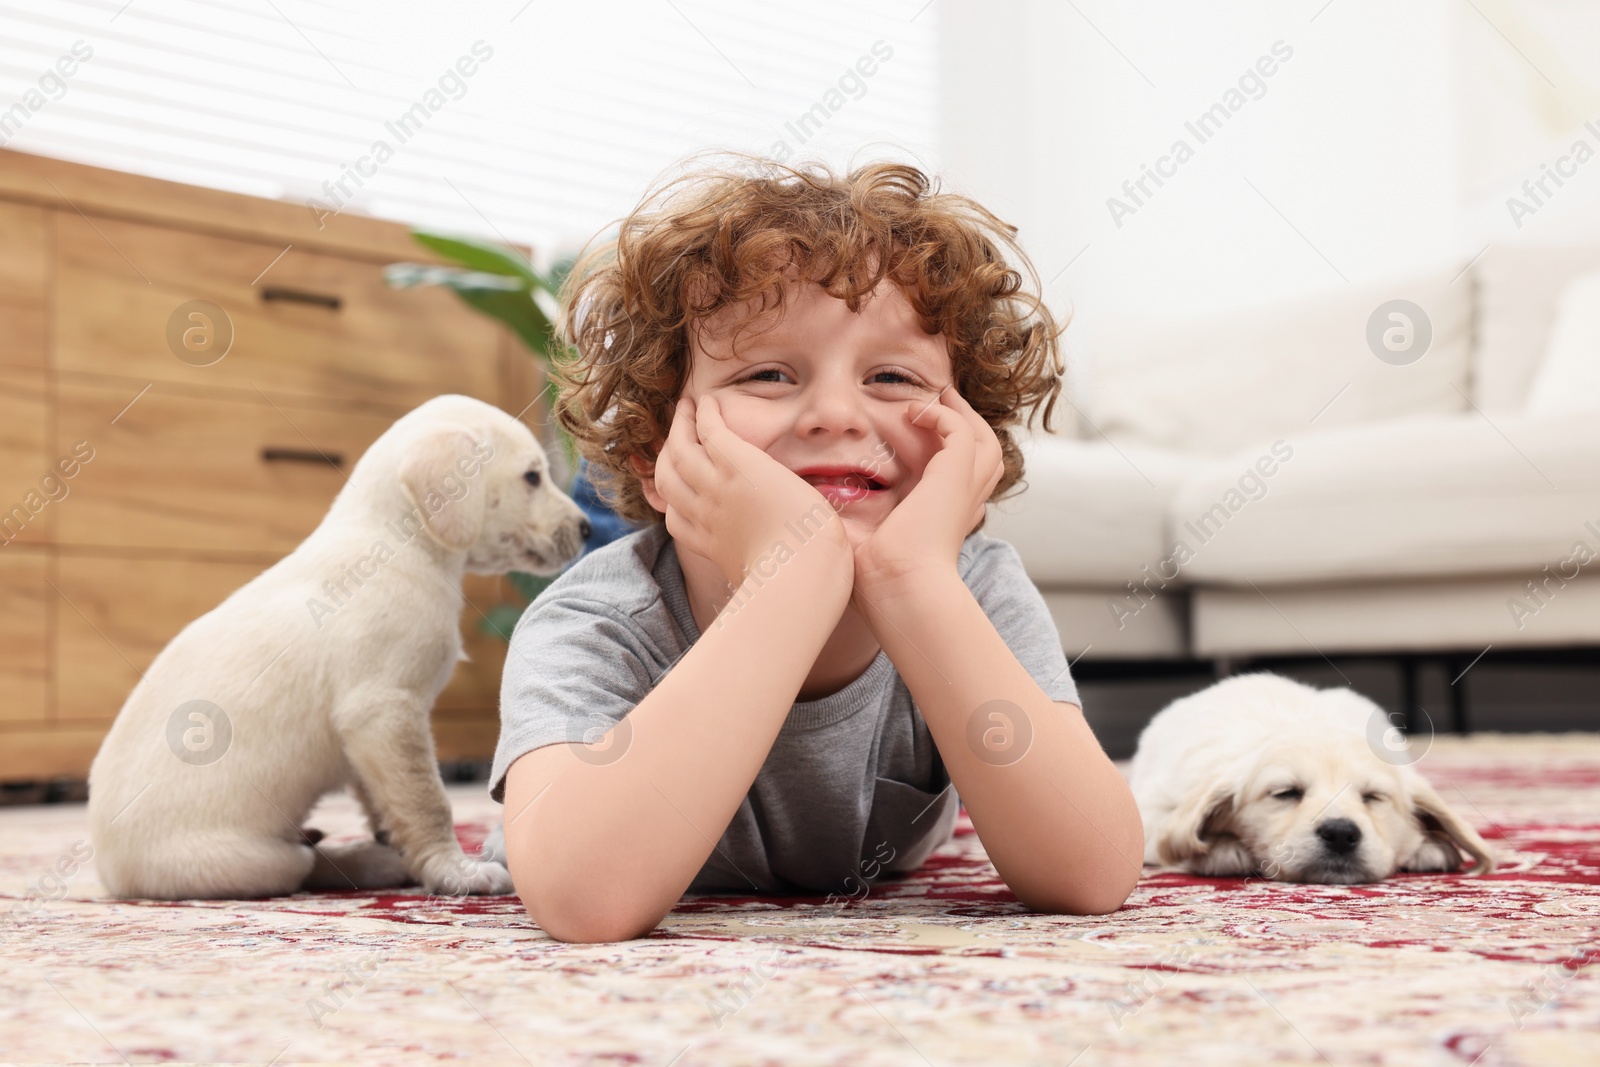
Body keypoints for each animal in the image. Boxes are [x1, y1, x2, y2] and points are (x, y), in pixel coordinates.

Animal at [87, 396, 588, 895]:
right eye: (533, 476)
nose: (586, 528)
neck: (398, 545)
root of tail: (105, 876)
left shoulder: (366, 736)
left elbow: (385, 800)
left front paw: (400, 843)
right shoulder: (384, 711)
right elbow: (427, 800)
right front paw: (454, 871)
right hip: (254, 862)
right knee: (305, 864)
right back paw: (370, 862)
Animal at [1132, 675, 1491, 883]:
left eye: (1374, 797)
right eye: (1285, 793)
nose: (1341, 834)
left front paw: (1429, 845)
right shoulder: (1153, 807)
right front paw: (1223, 849)